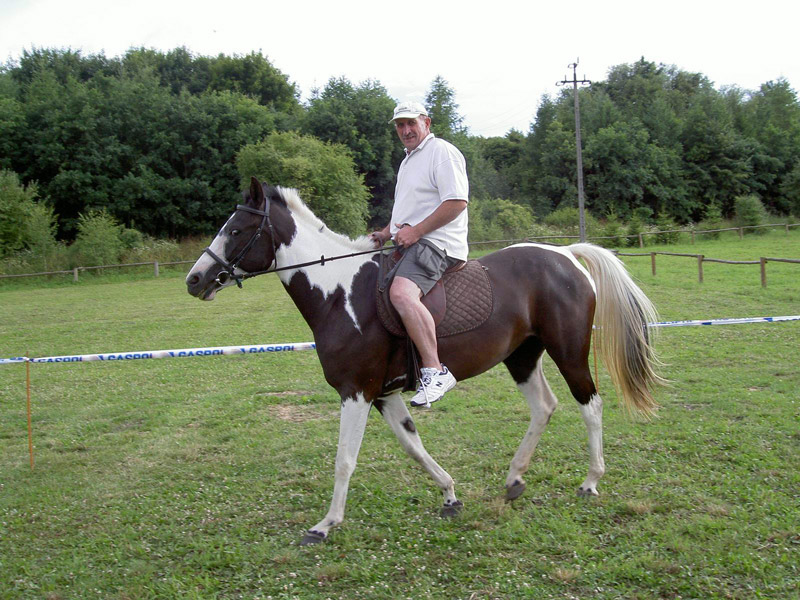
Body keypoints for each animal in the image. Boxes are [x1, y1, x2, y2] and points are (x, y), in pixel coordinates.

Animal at [188, 177, 664, 544]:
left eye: (236, 229)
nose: (195, 280)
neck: (339, 294)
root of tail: (566, 256)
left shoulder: (356, 393)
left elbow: (345, 459)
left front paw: (325, 525)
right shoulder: (383, 395)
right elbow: (412, 446)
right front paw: (450, 495)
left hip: (568, 352)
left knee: (591, 405)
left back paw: (591, 482)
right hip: (522, 358)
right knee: (544, 407)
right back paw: (514, 479)